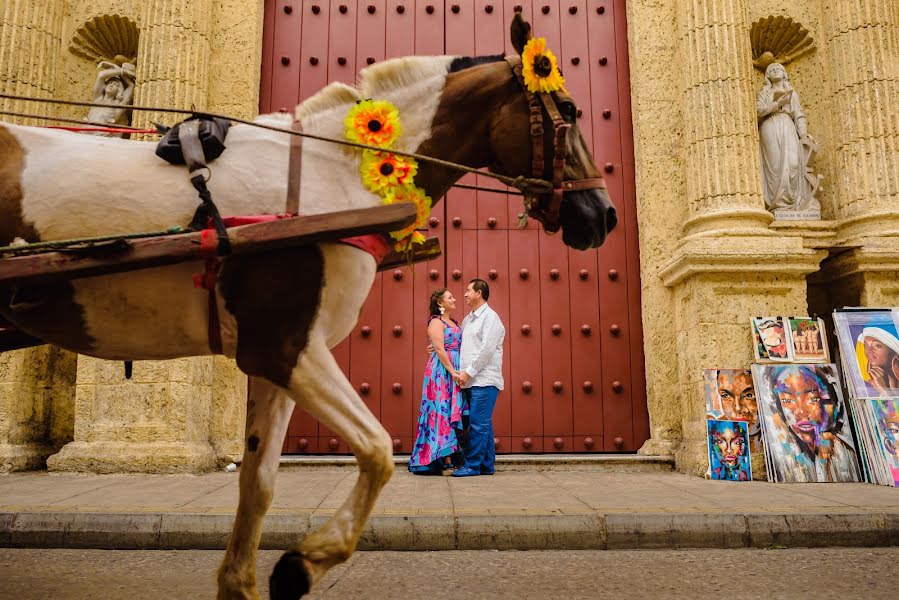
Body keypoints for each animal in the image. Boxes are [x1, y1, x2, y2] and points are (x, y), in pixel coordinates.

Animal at [0, 16, 616, 600]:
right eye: (568, 109)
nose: (604, 215)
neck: (335, 171)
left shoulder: (270, 360)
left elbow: (258, 484)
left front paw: (243, 581)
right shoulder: (289, 346)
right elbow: (376, 451)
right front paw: (302, 563)